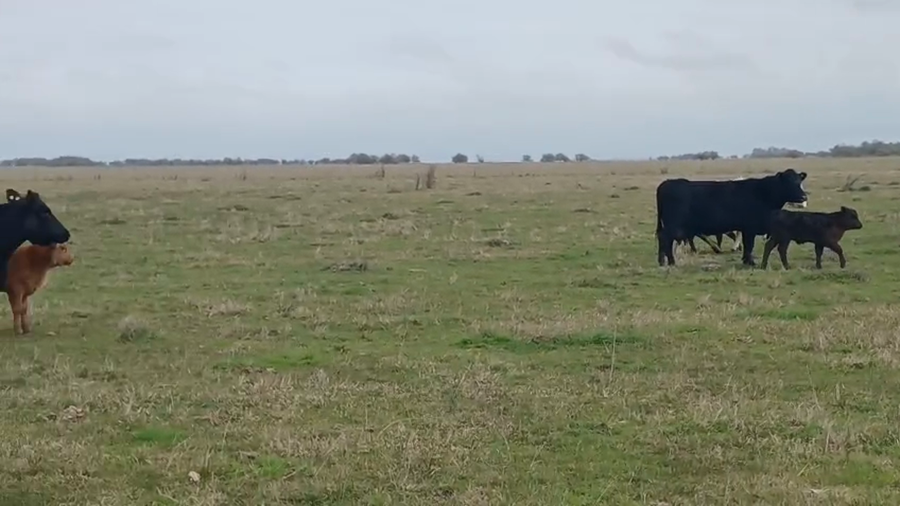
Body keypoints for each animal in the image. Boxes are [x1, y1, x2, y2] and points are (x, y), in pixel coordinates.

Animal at [655, 168, 808, 267]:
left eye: (799, 182)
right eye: (788, 182)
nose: (803, 197)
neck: (763, 192)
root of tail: (666, 183)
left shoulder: (746, 229)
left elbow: (747, 245)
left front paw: (746, 260)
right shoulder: (750, 228)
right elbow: (749, 245)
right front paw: (750, 262)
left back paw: (663, 261)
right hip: (673, 225)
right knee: (665, 238)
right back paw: (670, 262)